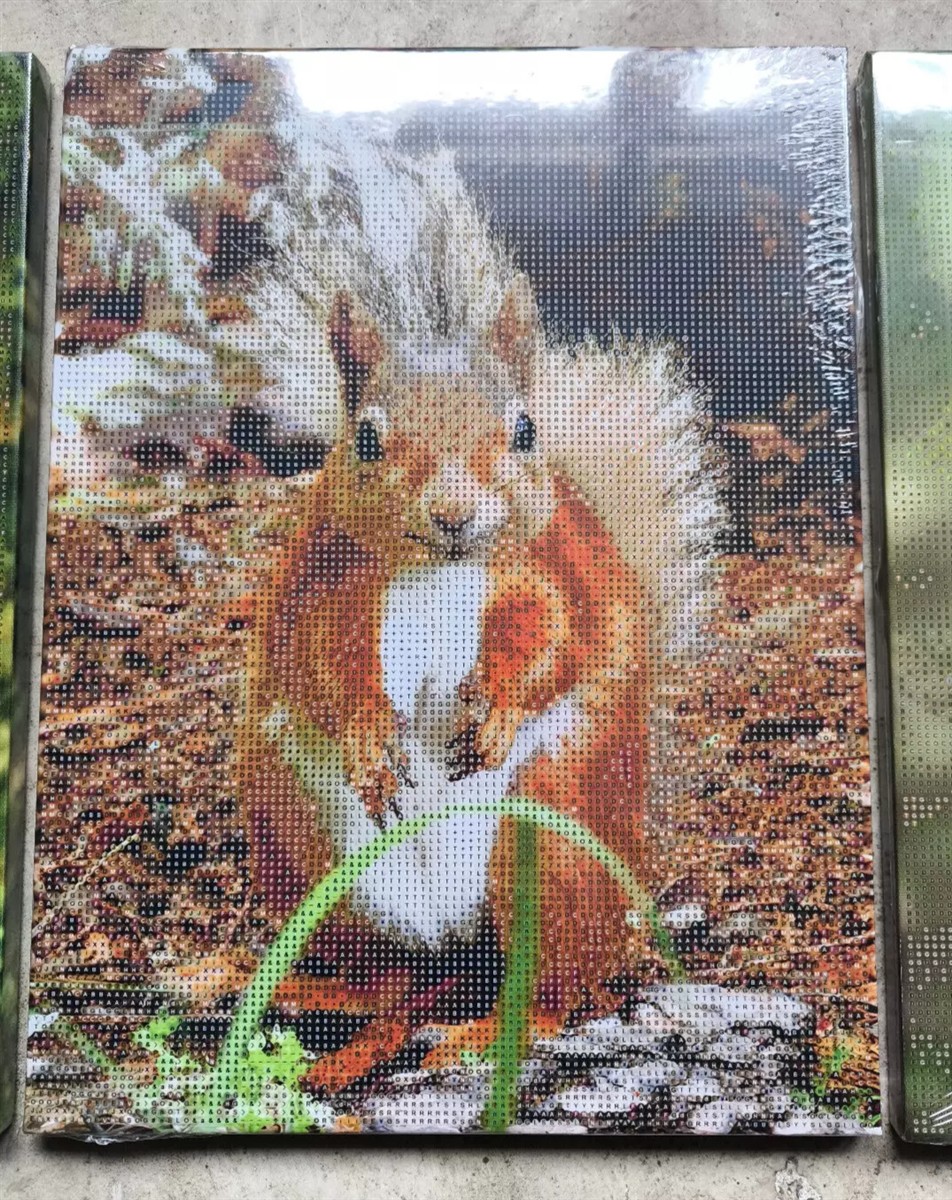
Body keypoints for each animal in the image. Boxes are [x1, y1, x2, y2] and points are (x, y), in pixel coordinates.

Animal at [238, 270, 724, 1088]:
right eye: (365, 438)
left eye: (525, 431)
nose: (454, 513)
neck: (440, 572)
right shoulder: (328, 590)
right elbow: (321, 665)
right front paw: (368, 736)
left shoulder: (550, 576)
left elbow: (553, 639)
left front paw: (497, 710)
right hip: (302, 844)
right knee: (385, 977)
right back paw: (328, 994)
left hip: (554, 844)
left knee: (556, 989)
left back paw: (488, 1031)